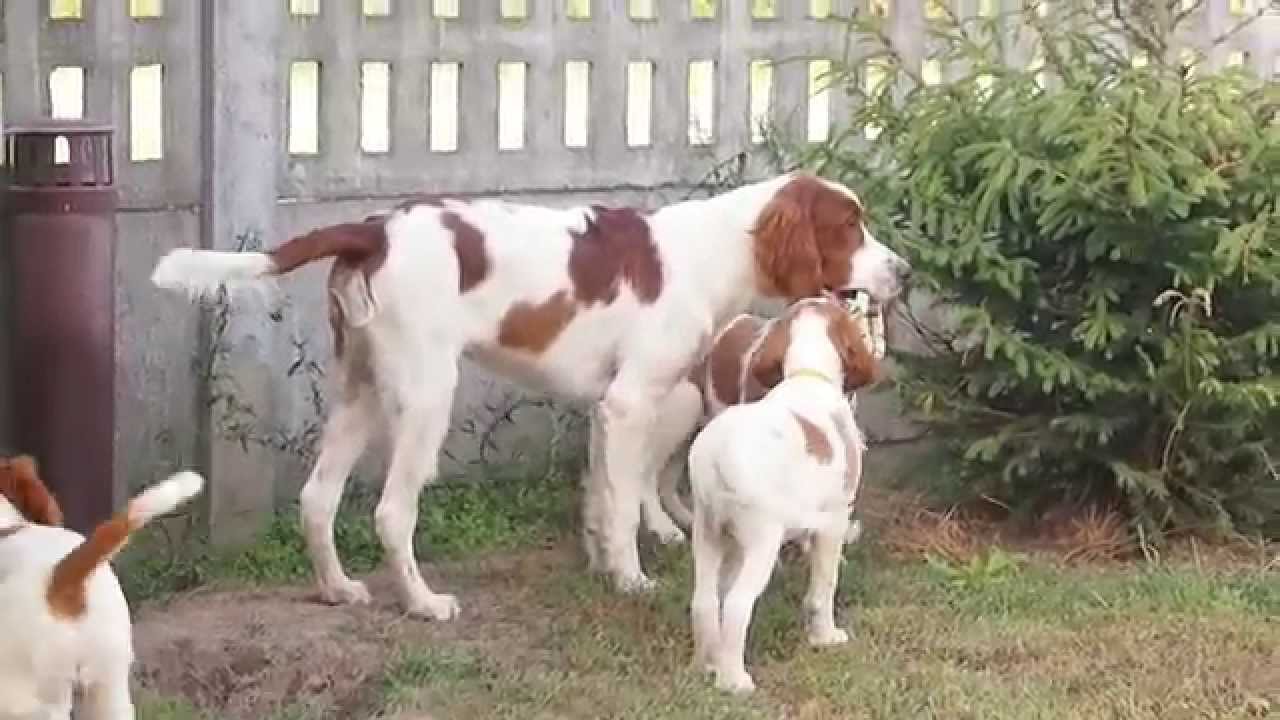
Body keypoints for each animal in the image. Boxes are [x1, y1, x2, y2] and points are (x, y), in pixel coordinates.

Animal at [149, 170, 911, 614]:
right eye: (849, 227)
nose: (903, 271)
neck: (714, 247)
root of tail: (374, 229)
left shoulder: (608, 409)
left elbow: (605, 500)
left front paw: (604, 569)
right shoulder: (631, 402)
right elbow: (624, 506)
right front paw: (632, 580)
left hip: (360, 389)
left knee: (316, 499)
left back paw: (338, 589)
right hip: (425, 395)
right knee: (392, 512)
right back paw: (424, 602)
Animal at [691, 294, 880, 691]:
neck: (807, 375)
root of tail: (716, 455)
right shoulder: (833, 522)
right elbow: (823, 588)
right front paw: (825, 637)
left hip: (708, 533)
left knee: (704, 601)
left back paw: (707, 666)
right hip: (761, 540)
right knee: (736, 605)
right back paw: (735, 681)